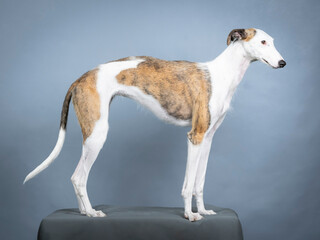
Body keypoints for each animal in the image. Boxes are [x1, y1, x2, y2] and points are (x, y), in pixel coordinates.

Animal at [24, 28, 284, 221]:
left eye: (272, 41)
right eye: (262, 42)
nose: (283, 63)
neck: (221, 74)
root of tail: (80, 78)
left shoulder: (208, 138)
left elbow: (199, 182)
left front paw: (203, 211)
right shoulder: (195, 137)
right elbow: (188, 183)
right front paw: (190, 215)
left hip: (92, 134)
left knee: (76, 177)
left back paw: (82, 211)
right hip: (97, 134)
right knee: (78, 177)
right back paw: (91, 212)